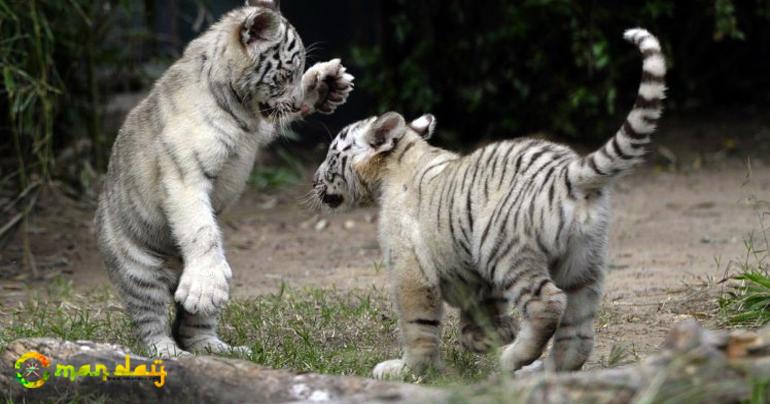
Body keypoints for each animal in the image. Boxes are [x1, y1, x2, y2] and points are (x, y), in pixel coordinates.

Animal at [95, 0, 354, 357]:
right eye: (285, 74)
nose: (295, 102)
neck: (238, 106)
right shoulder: (185, 176)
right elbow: (201, 230)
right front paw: (204, 285)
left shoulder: (260, 127)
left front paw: (325, 84)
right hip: (139, 272)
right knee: (152, 322)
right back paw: (169, 351)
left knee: (193, 327)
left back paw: (217, 348)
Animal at [310, 28, 665, 378]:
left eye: (330, 155)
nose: (313, 181)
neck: (399, 160)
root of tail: (569, 172)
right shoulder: (472, 276)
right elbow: (479, 313)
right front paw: (488, 337)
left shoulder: (410, 267)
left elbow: (417, 324)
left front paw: (409, 368)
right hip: (583, 262)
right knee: (577, 329)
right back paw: (545, 370)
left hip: (503, 249)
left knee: (548, 303)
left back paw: (512, 360)